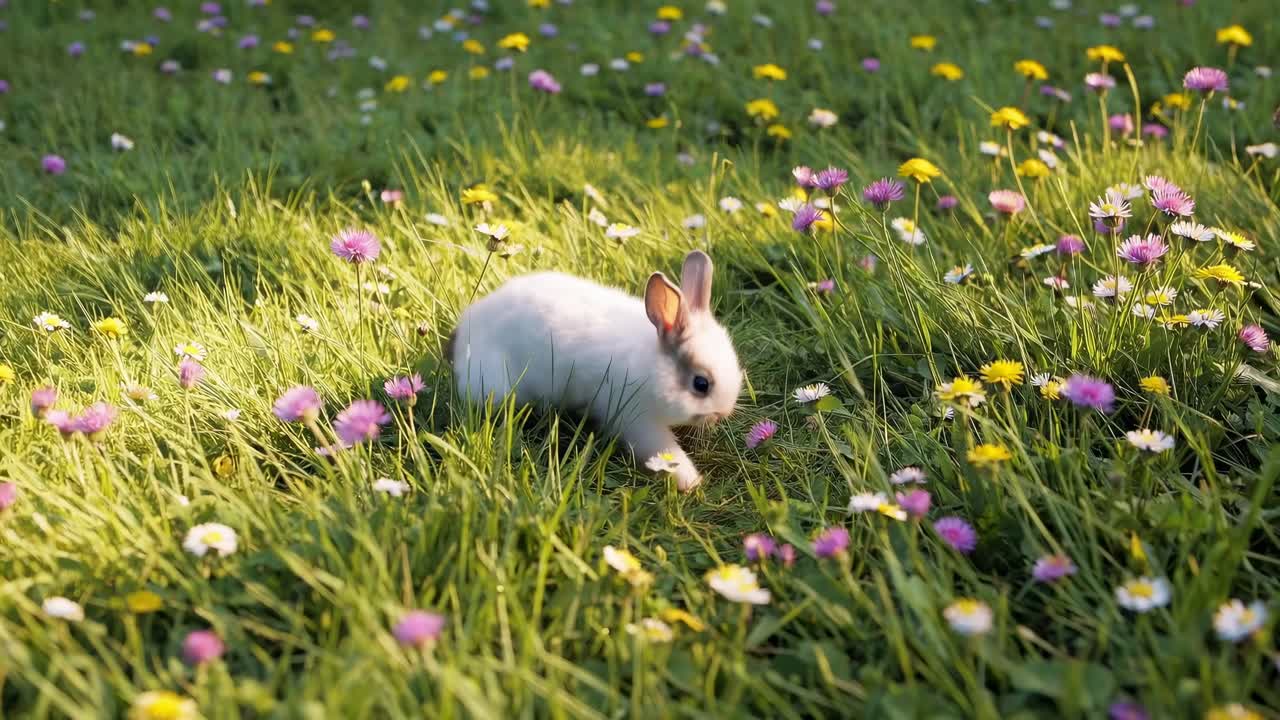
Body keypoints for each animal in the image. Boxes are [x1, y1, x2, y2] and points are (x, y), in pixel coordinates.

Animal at [448, 250, 742, 491]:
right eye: (701, 384)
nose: (723, 413)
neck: (652, 364)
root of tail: (467, 327)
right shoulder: (635, 419)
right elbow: (665, 450)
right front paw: (691, 483)